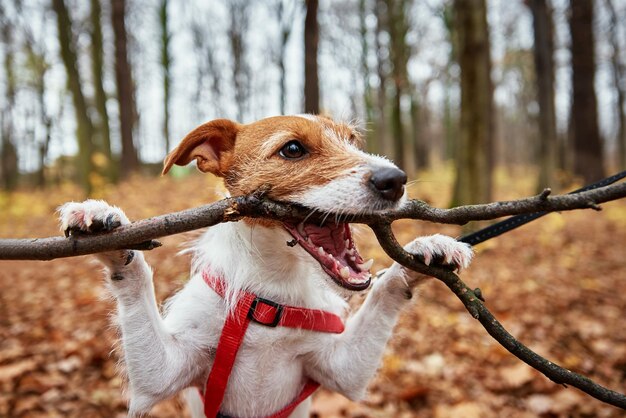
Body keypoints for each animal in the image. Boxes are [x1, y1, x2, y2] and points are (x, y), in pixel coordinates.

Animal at [58, 115, 470, 418]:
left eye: (353, 141)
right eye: (293, 149)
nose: (395, 180)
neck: (271, 294)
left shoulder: (342, 369)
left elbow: (384, 292)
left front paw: (425, 251)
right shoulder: (162, 373)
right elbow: (135, 280)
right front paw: (107, 228)